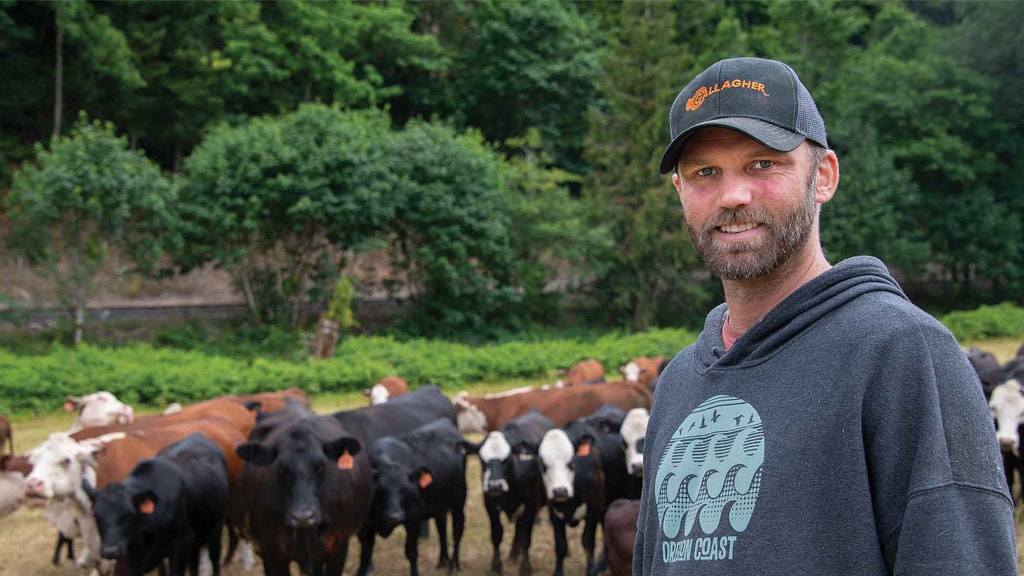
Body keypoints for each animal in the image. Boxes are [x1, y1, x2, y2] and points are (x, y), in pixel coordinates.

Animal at [83, 430, 228, 573]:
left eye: (129, 515)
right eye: (96, 515)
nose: (111, 551)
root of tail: (197, 434)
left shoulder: (179, 547)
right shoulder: (132, 555)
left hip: (215, 530)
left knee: (214, 558)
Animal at [360, 416, 468, 573]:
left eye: (405, 489)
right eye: (380, 490)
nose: (395, 516)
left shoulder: (412, 518)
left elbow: (411, 551)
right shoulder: (365, 524)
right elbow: (365, 553)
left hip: (459, 501)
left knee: (457, 529)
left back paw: (454, 566)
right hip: (439, 505)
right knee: (441, 526)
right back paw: (442, 561)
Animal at [462, 407, 557, 573]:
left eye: (507, 459)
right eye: (482, 460)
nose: (495, 485)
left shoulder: (531, 504)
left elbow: (526, 537)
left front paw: (525, 569)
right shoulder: (490, 503)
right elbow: (496, 535)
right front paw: (496, 567)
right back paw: (512, 557)